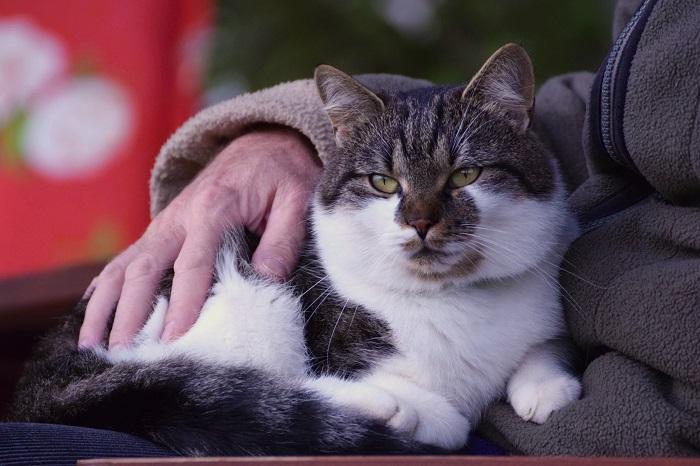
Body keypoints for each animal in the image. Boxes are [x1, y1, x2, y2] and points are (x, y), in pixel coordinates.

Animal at [10, 43, 580, 456]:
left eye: (465, 174)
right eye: (383, 182)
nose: (420, 221)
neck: (452, 299)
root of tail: (42, 376)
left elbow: (543, 343)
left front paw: (544, 386)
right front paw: (423, 410)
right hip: (243, 294)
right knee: (215, 380)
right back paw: (387, 408)